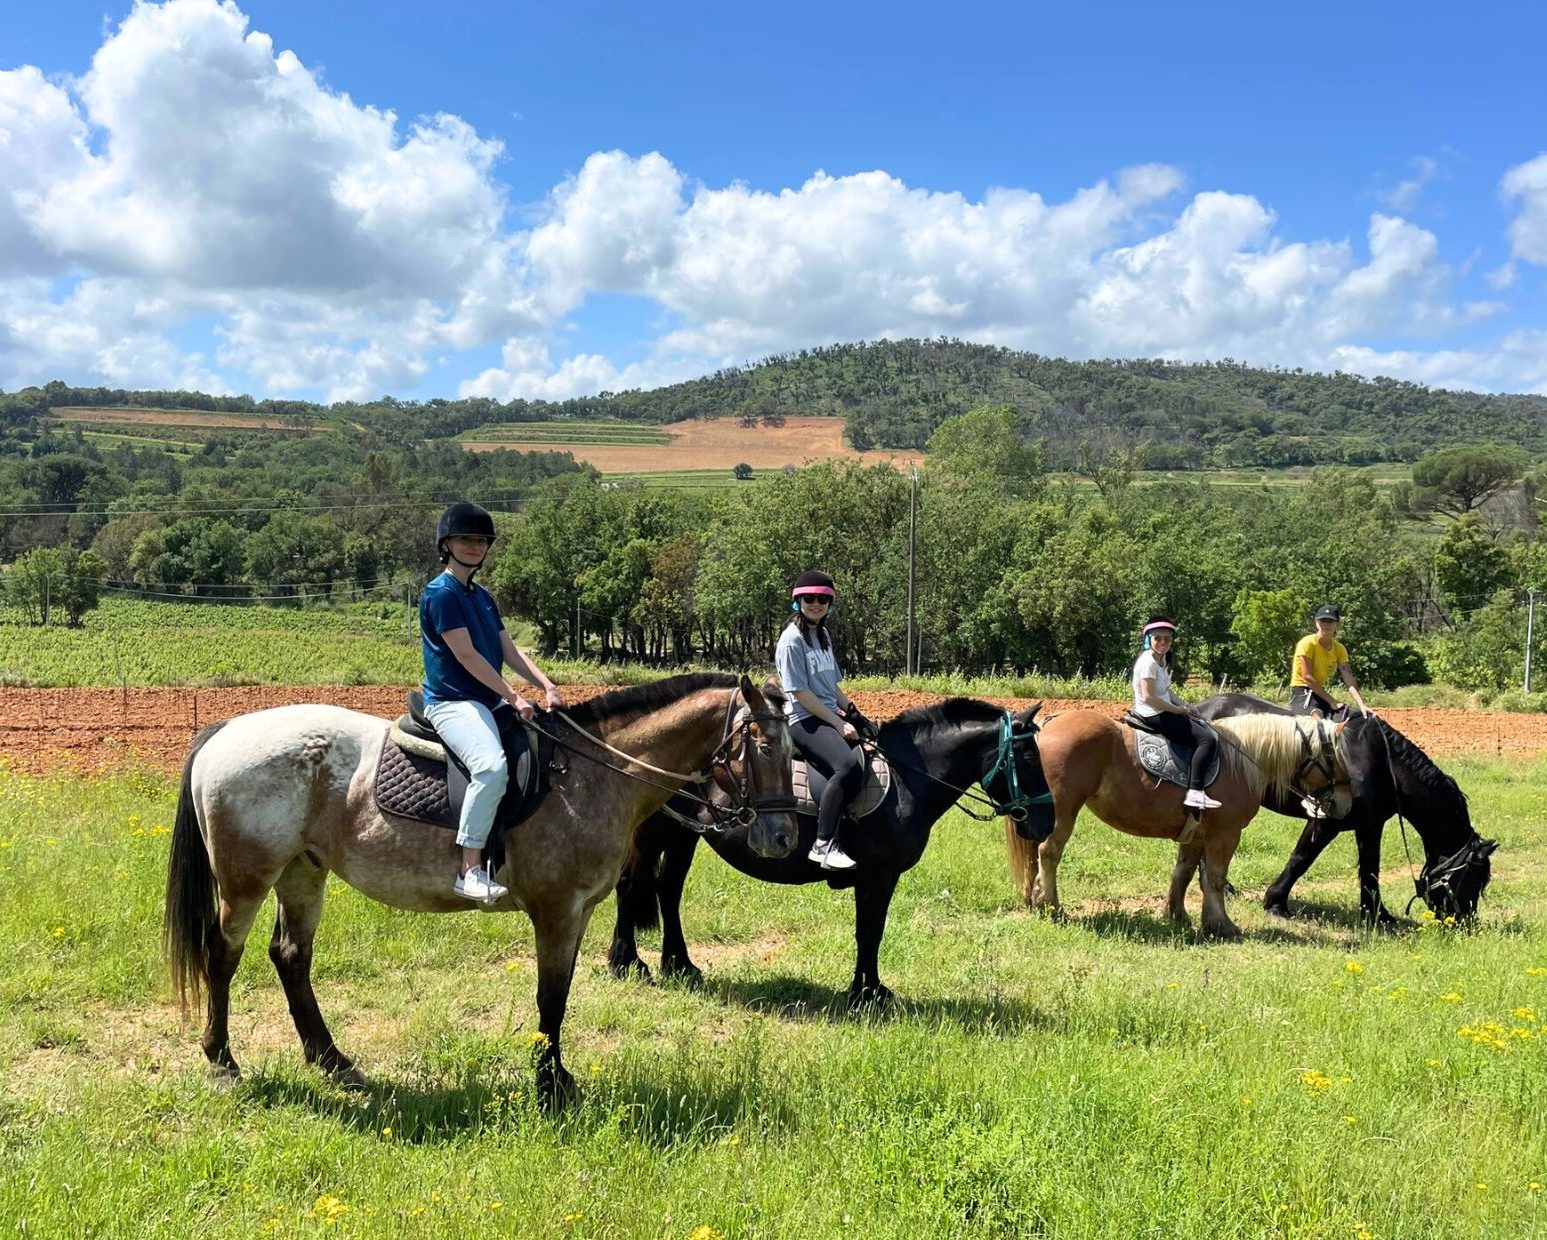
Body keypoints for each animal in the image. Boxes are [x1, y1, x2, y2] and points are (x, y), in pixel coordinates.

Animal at [163, 671, 798, 1107]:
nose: (782, 836)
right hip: (246, 880)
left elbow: (560, 994)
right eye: (765, 748)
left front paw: (556, 1077)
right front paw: (551, 1086)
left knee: (291, 956)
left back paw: (333, 1061)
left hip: (302, 871)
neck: (589, 775)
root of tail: (226, 730)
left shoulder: (578, 913)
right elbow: (551, 998)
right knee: (222, 955)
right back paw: (223, 1061)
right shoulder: (556, 910)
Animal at [606, 695, 1051, 1001]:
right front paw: (865, 995)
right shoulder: (876, 876)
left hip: (686, 834)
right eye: (1029, 756)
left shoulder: (881, 878)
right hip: (656, 832)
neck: (908, 778)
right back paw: (627, 962)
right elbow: (869, 931)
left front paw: (871, 989)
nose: (1047, 822)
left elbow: (873, 931)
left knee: (668, 891)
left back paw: (679, 965)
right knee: (630, 886)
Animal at [1008, 705, 1348, 940]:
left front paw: (1178, 915)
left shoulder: (1196, 835)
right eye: (1336, 757)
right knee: (1049, 853)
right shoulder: (1226, 834)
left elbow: (1183, 873)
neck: (1242, 761)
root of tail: (1047, 727)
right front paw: (1222, 925)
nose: (1344, 805)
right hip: (1062, 812)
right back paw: (1051, 906)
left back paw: (1036, 900)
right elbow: (1215, 879)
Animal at [1194, 689, 1497, 921]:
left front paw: (1378, 915)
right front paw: (1275, 903)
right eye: (1471, 877)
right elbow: (1301, 859)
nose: (1464, 922)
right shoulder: (1326, 819)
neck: (1381, 763)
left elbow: (1371, 869)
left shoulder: (1371, 825)